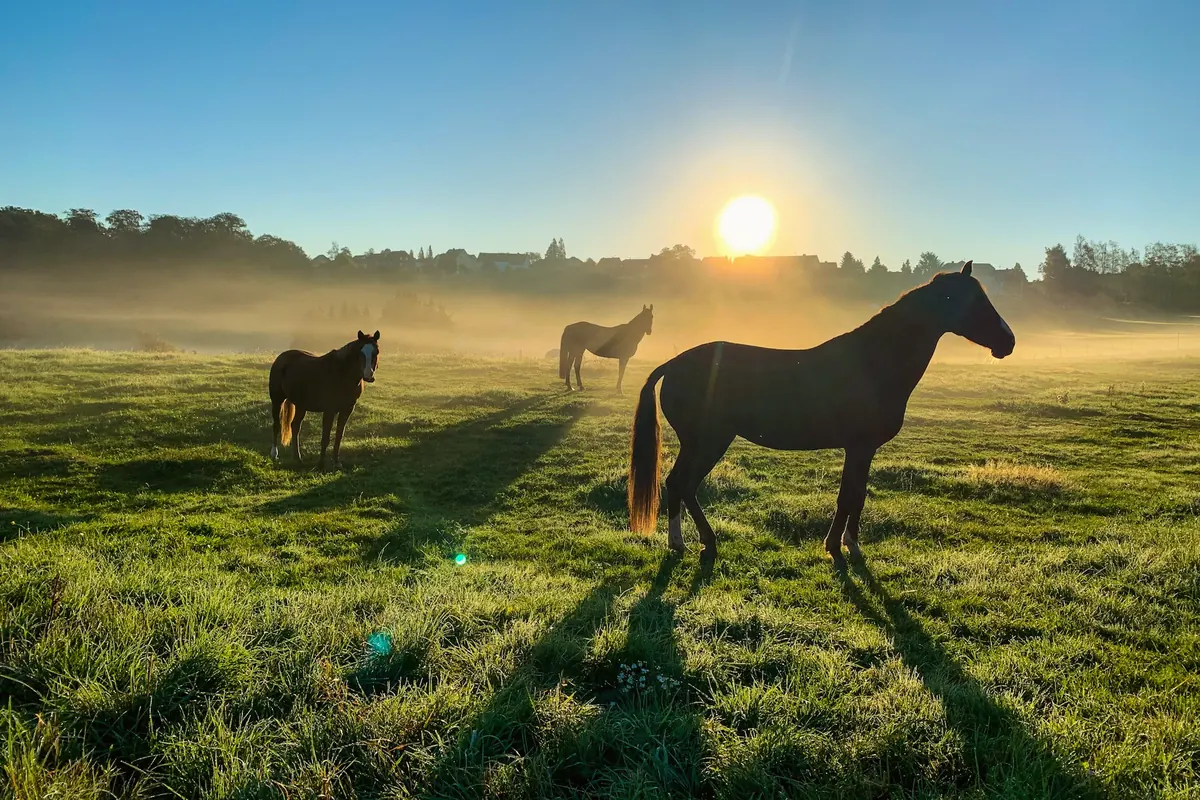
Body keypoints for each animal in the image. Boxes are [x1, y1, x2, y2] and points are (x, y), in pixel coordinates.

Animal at [269, 330, 380, 470]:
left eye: (376, 352)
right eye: (360, 352)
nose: (368, 375)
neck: (342, 374)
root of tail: (281, 358)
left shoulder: (347, 409)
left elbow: (339, 436)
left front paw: (336, 462)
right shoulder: (329, 410)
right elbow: (325, 437)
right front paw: (320, 464)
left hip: (301, 405)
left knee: (295, 426)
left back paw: (298, 458)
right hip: (277, 400)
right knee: (276, 425)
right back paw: (274, 454)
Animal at [627, 262, 1014, 569]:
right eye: (973, 301)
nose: (1008, 342)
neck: (871, 362)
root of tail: (674, 363)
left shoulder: (862, 450)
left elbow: (856, 494)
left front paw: (844, 543)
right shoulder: (859, 447)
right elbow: (850, 496)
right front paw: (843, 547)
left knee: (680, 485)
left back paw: (690, 542)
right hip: (707, 441)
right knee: (682, 484)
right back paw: (692, 542)